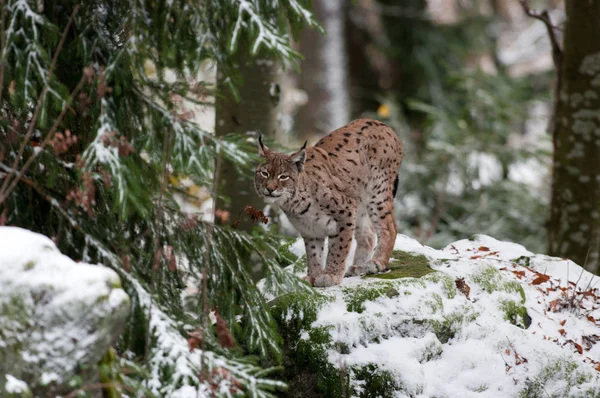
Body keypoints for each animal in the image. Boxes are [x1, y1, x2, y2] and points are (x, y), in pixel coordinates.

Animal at [253, 118, 404, 286]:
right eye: (264, 173)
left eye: (283, 177)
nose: (270, 189)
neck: (294, 203)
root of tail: (380, 123)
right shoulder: (310, 228)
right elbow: (313, 254)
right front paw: (313, 276)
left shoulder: (345, 212)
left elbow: (338, 248)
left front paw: (331, 275)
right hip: (360, 203)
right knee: (368, 234)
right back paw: (358, 267)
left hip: (377, 192)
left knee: (390, 227)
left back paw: (377, 262)